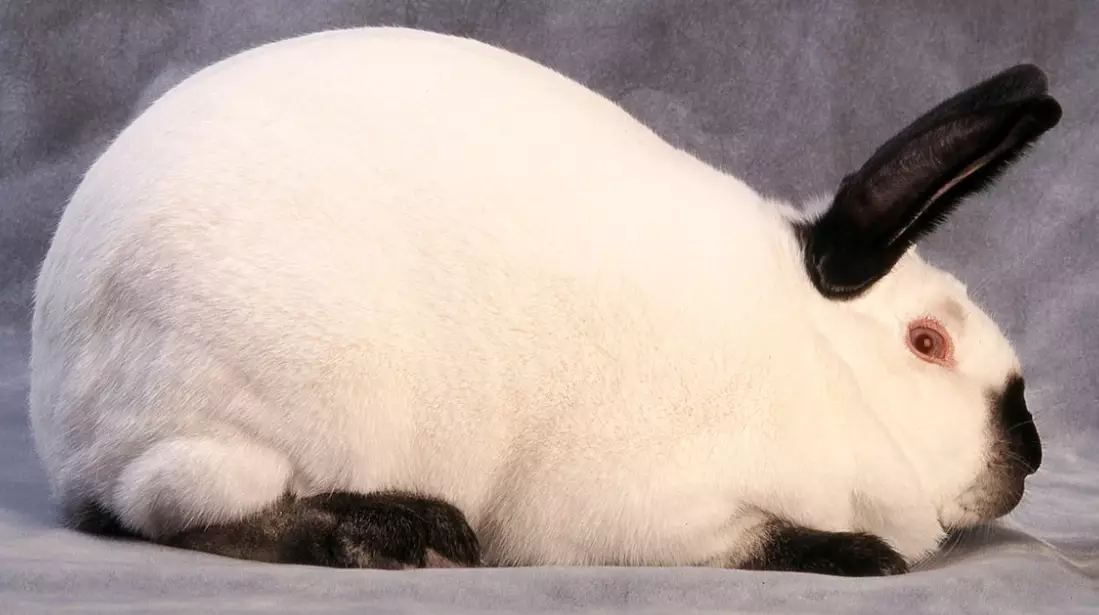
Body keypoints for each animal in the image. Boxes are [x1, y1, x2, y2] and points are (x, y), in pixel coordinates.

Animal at [28, 26, 1060, 576]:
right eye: (926, 342)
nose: (1031, 451)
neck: (816, 358)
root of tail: (59, 405)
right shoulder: (642, 507)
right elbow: (756, 536)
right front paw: (861, 554)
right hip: (279, 400)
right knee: (175, 507)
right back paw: (398, 532)